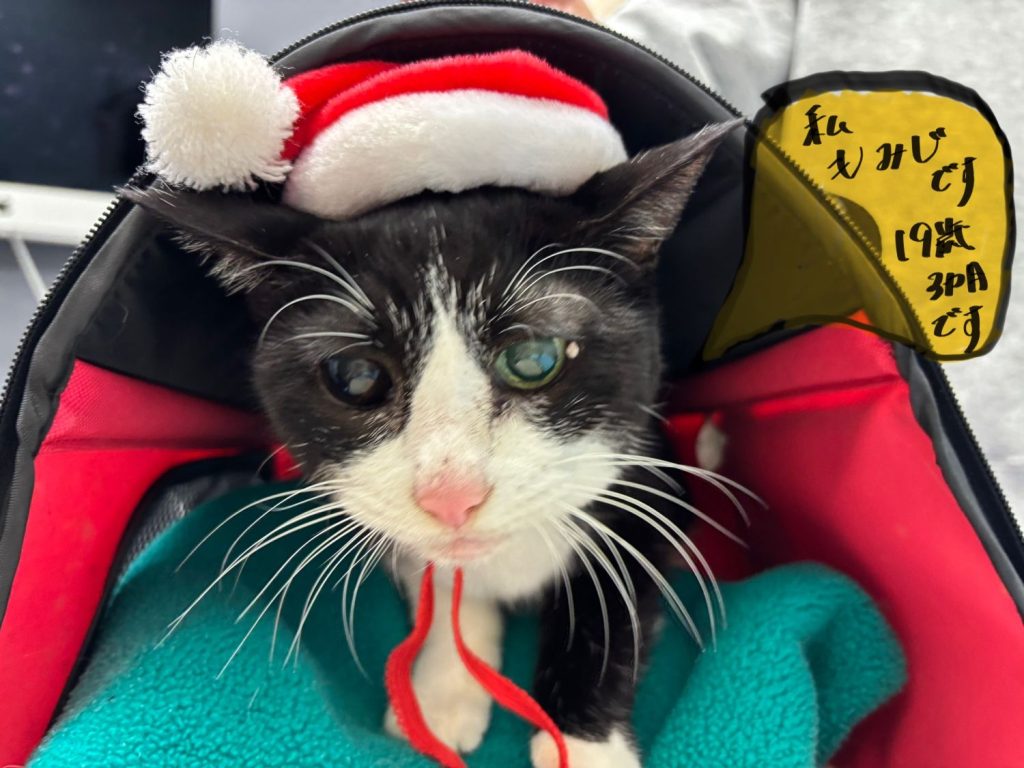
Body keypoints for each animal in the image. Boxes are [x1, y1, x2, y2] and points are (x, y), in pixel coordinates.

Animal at [127, 120, 735, 768]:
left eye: (535, 359)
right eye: (356, 377)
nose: (451, 495)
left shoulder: (643, 489)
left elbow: (612, 605)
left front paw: (587, 747)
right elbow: (438, 581)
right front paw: (444, 693)